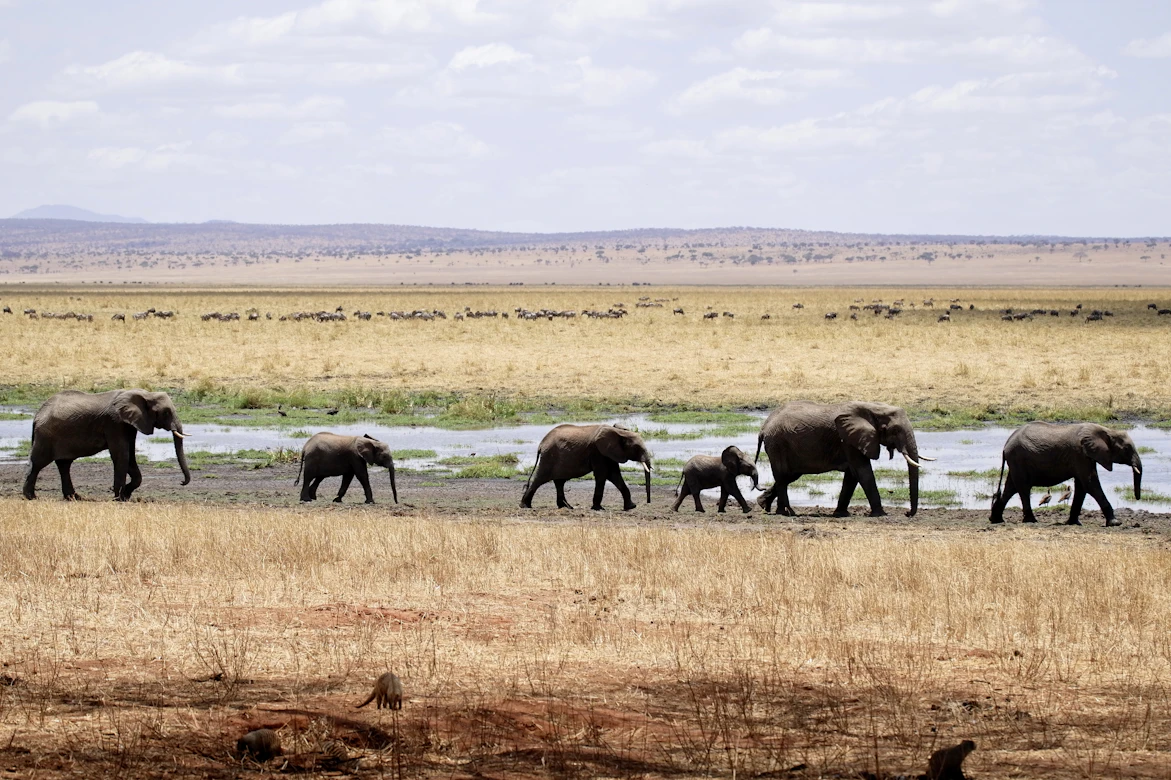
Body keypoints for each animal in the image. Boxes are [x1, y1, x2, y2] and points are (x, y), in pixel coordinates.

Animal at [22, 389, 191, 501]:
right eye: (166, 412)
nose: (182, 482)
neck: (145, 394)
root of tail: (37, 416)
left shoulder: (129, 425)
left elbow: (130, 456)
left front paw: (125, 495)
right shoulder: (115, 423)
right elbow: (121, 454)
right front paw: (118, 498)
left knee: (64, 465)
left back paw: (74, 497)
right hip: (46, 436)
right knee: (38, 463)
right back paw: (31, 497)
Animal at [520, 424, 653, 510]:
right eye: (637, 448)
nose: (648, 502)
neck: (619, 432)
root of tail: (541, 444)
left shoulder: (608, 453)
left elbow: (614, 475)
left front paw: (631, 507)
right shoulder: (597, 452)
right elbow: (603, 474)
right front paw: (598, 508)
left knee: (559, 482)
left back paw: (567, 507)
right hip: (549, 457)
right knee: (540, 479)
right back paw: (525, 506)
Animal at [754, 401, 932, 517]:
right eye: (895, 430)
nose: (907, 513)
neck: (873, 408)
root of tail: (764, 427)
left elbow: (852, 475)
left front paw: (841, 513)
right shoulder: (849, 440)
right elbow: (863, 471)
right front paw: (880, 514)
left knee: (787, 476)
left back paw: (766, 506)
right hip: (778, 444)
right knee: (783, 476)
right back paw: (787, 513)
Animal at [989, 422, 1142, 527]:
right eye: (1127, 448)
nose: (1137, 498)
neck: (1106, 430)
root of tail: (1006, 445)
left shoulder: (1086, 456)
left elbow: (1082, 487)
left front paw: (1074, 523)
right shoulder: (1080, 454)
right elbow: (1090, 484)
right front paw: (1115, 523)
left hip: (1016, 462)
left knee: (1011, 488)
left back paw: (996, 519)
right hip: (1018, 459)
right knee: (1023, 488)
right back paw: (1031, 521)